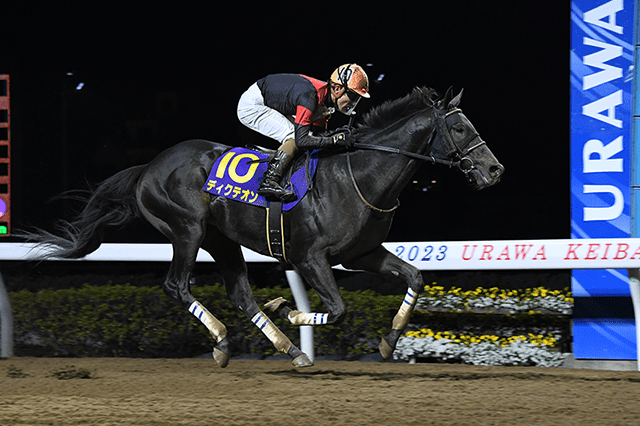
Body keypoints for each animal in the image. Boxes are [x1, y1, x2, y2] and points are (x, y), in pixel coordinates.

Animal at [23, 85, 504, 366]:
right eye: (461, 128)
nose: (494, 170)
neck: (360, 175)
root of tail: (148, 167)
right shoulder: (311, 258)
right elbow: (338, 308)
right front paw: (288, 309)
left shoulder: (360, 254)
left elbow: (415, 277)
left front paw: (388, 342)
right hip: (187, 230)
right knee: (177, 286)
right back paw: (223, 341)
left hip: (222, 240)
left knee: (240, 294)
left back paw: (285, 347)